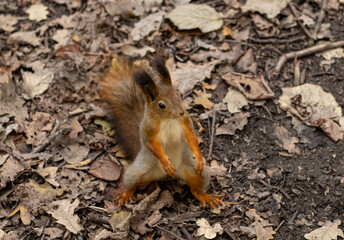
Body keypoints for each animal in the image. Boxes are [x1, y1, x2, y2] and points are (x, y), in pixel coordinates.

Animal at [99, 56, 223, 208]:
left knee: (195, 188)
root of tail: (162, 175)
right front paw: (165, 162)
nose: (181, 112)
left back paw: (205, 196)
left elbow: (192, 138)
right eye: (161, 105)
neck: (168, 119)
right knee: (132, 182)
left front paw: (199, 158)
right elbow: (151, 144)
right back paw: (127, 194)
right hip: (140, 170)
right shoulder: (148, 129)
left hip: (196, 171)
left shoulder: (186, 121)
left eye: (179, 94)